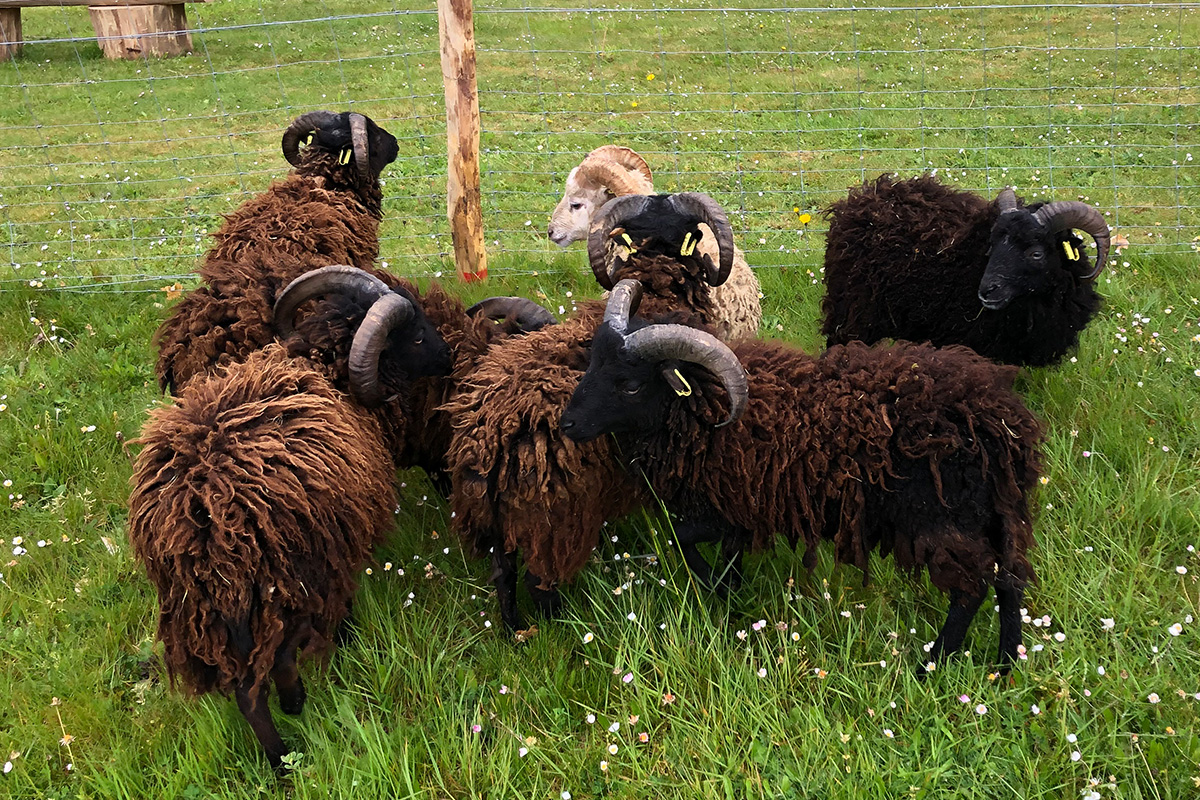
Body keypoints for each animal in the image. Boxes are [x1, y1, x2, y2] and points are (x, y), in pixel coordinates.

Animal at [445, 192, 742, 632]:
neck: (656, 284)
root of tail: (491, 442)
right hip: (556, 518)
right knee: (538, 581)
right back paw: (562, 626)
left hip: (500, 519)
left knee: (503, 572)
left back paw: (516, 632)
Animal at [561, 280, 1045, 671]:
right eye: (592, 364)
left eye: (629, 384)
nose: (567, 424)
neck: (706, 410)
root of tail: (1002, 423)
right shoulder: (739, 512)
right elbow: (724, 555)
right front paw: (731, 594)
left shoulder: (733, 507)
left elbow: (680, 538)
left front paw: (717, 588)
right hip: (995, 514)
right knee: (1010, 578)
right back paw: (1006, 665)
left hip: (942, 519)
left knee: (973, 586)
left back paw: (933, 664)